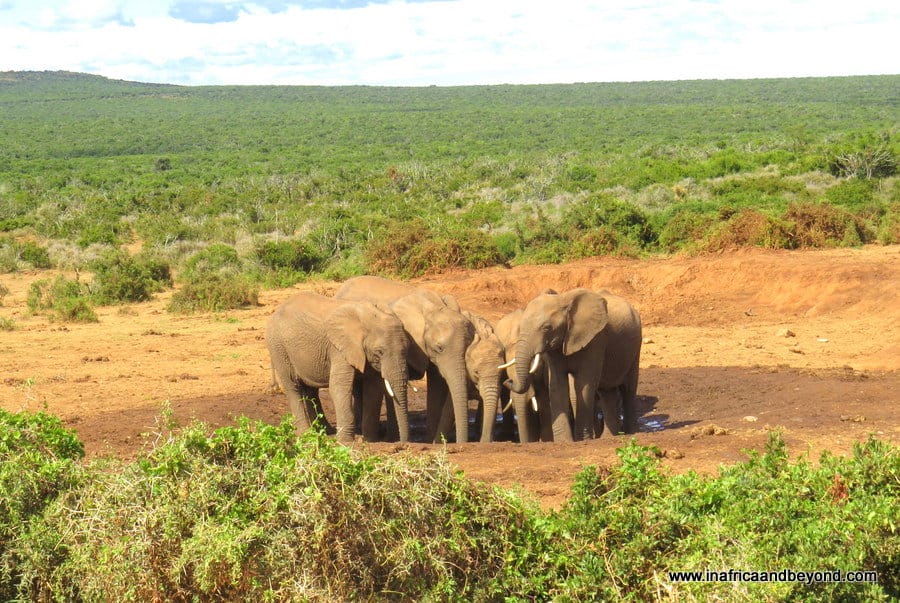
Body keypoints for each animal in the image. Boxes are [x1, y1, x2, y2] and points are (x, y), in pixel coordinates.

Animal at [265, 291, 410, 443]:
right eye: (379, 352)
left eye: (407, 349)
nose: (403, 442)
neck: (368, 317)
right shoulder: (339, 349)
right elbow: (339, 387)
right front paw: (346, 442)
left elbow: (373, 390)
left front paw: (370, 440)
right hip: (278, 347)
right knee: (293, 387)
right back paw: (306, 434)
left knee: (311, 390)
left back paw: (324, 431)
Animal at [336, 276, 500, 443]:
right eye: (439, 347)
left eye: (468, 346)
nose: (462, 442)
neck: (431, 307)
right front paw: (399, 439)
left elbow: (437, 384)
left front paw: (431, 441)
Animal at [509, 288, 642, 441]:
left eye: (547, 328)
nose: (508, 381)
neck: (563, 300)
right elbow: (557, 385)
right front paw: (564, 441)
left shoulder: (596, 340)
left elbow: (584, 384)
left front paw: (583, 440)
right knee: (607, 392)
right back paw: (610, 437)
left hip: (636, 346)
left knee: (628, 389)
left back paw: (631, 433)